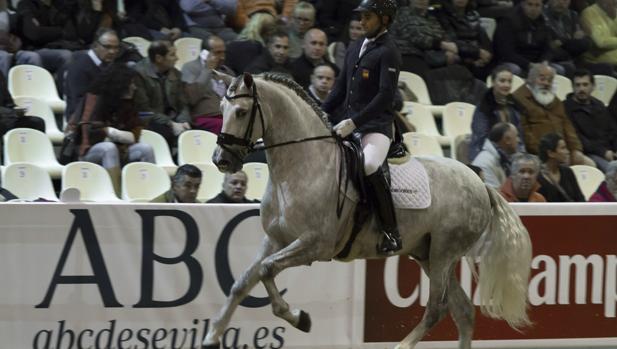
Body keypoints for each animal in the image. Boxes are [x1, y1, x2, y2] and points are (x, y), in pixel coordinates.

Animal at [202, 72, 528, 346]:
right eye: (221, 108)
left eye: (241, 112)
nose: (221, 160)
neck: (303, 165)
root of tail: (479, 183)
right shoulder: (275, 239)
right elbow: (243, 282)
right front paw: (213, 336)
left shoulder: (314, 245)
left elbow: (267, 270)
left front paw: (299, 318)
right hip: (428, 253)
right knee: (463, 311)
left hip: (444, 253)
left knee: (437, 308)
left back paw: (401, 345)